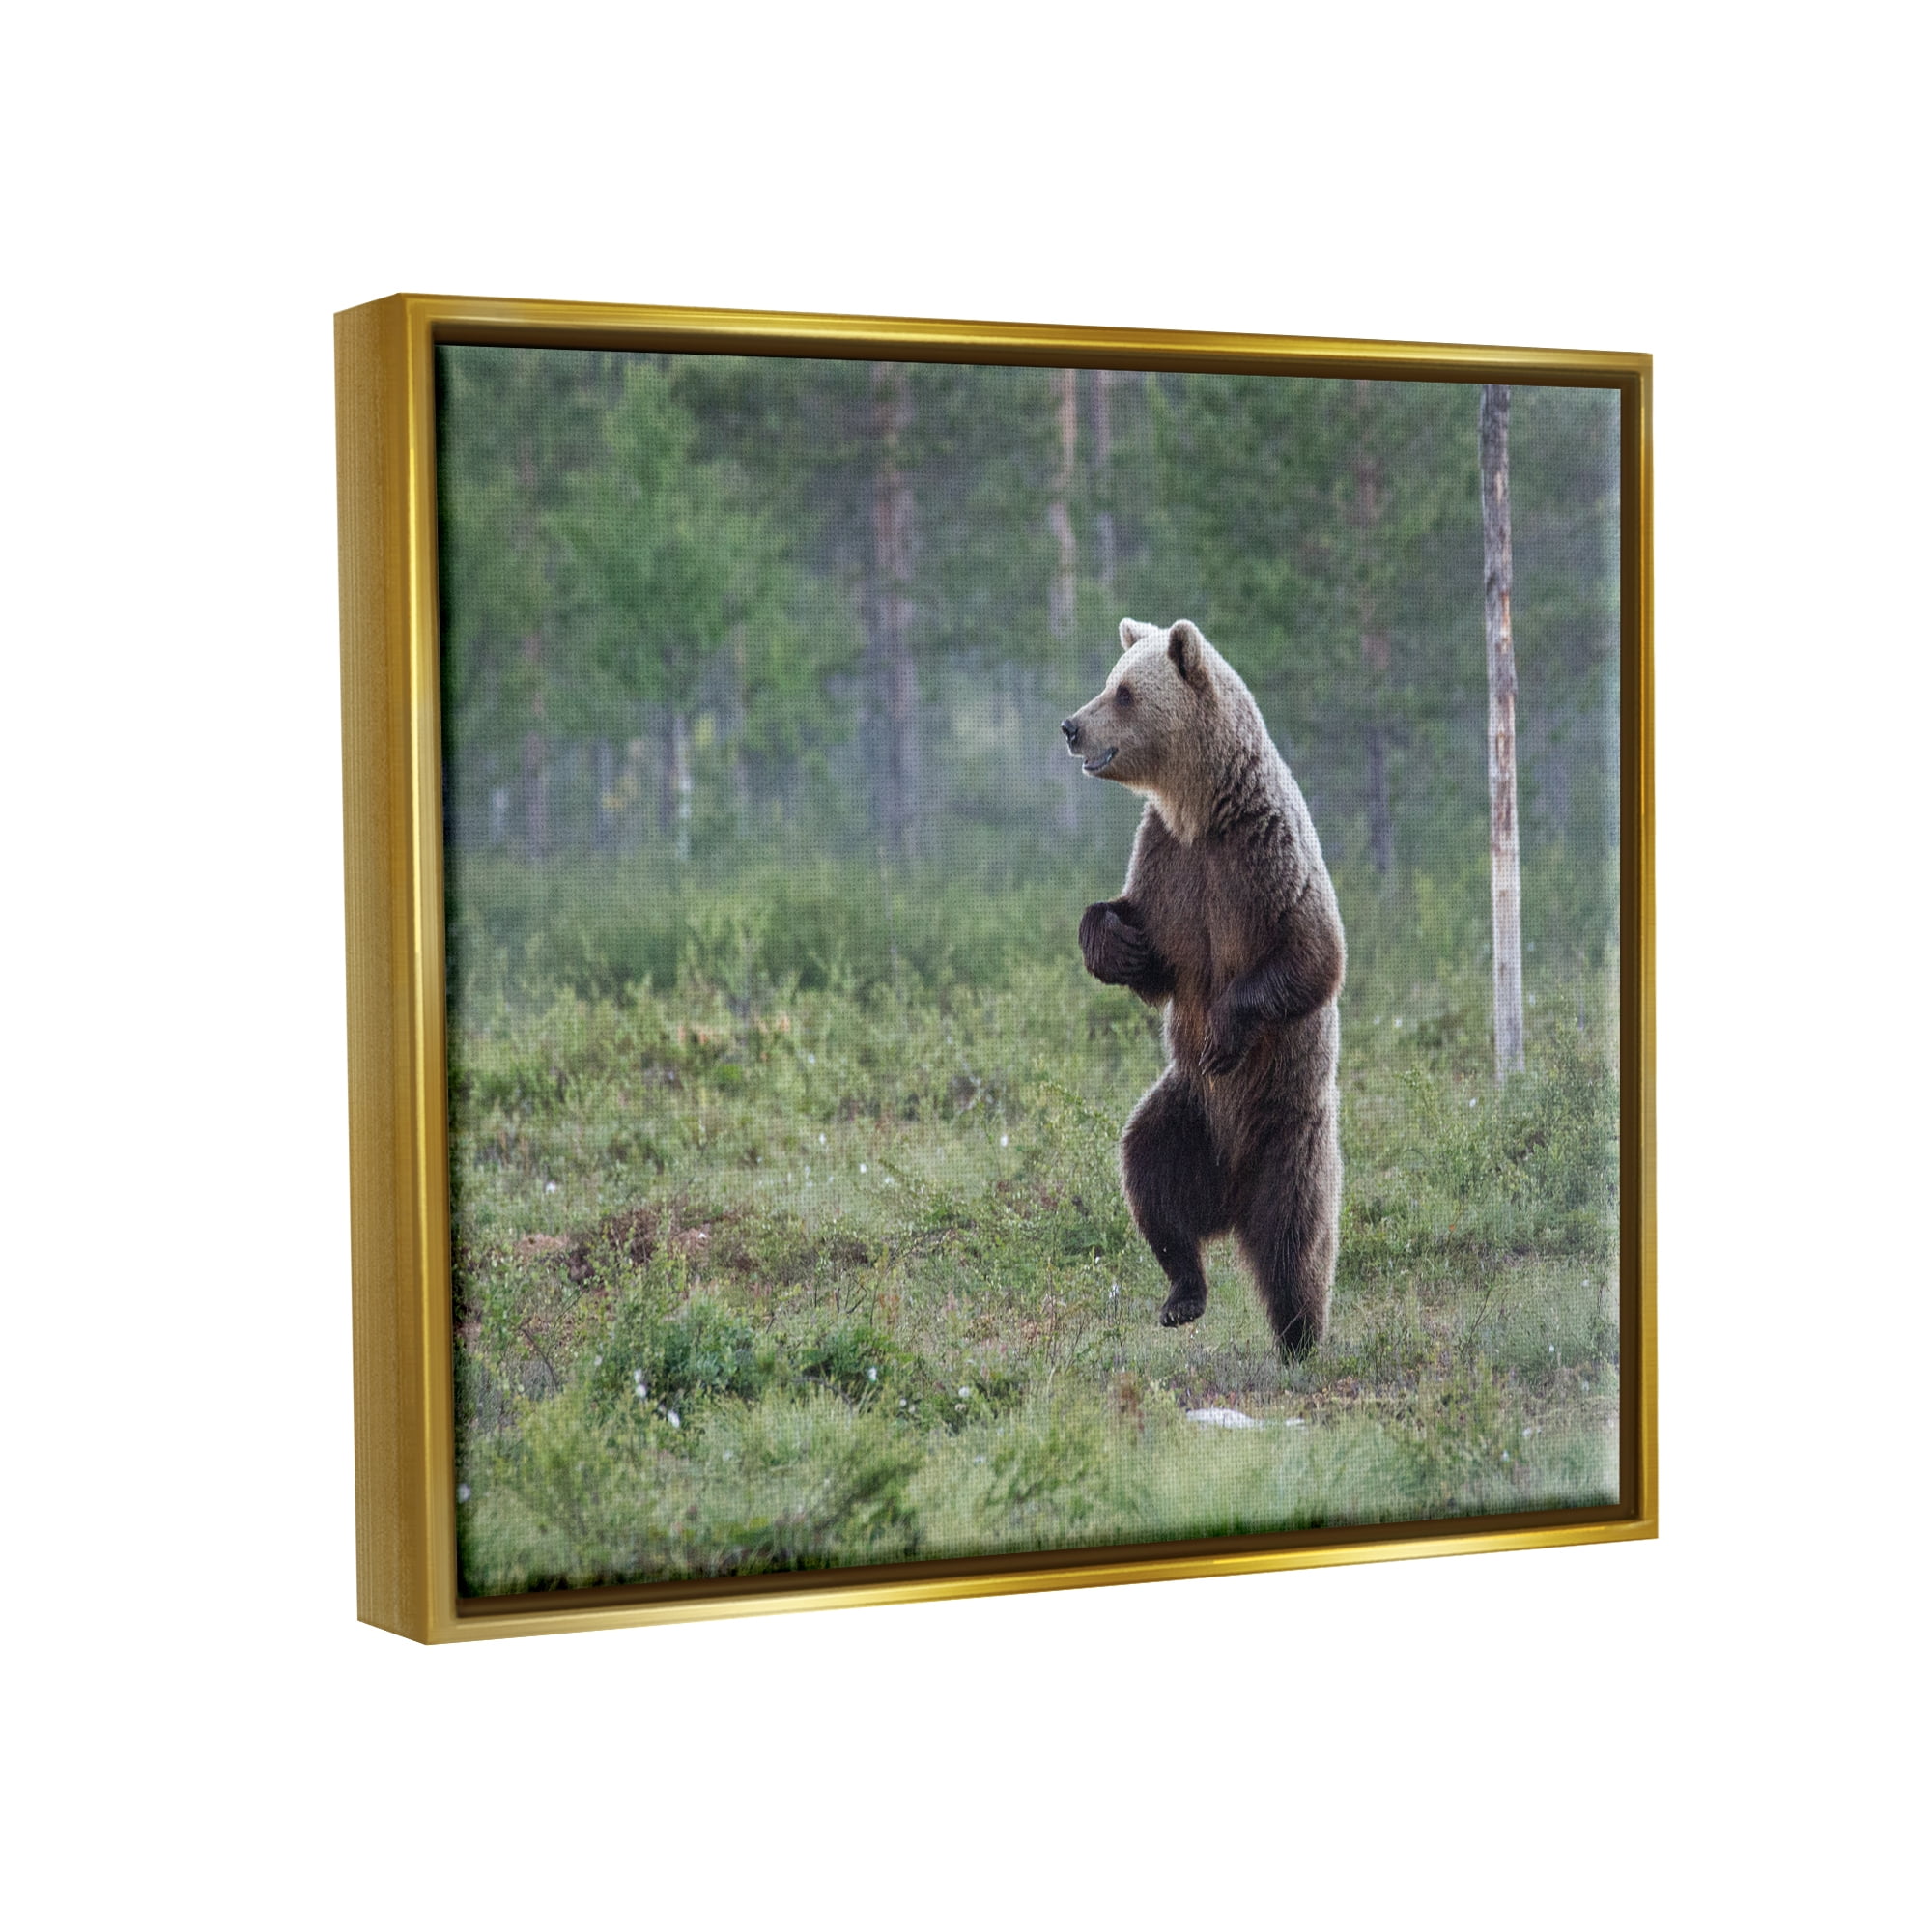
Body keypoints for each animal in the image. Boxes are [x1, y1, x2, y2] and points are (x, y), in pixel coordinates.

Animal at [1060, 618, 1345, 1356]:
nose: (1070, 726)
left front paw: (1223, 1030)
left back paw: (1299, 1337)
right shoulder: (1169, 863)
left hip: (1289, 1132)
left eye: (1124, 692)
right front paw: (1114, 941)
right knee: (1148, 1176)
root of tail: (1231, 1200)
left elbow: (1312, 956)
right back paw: (1182, 1294)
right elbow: (1154, 953)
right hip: (1185, 1113)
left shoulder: (1263, 857)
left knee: (1295, 1241)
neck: (1202, 810)